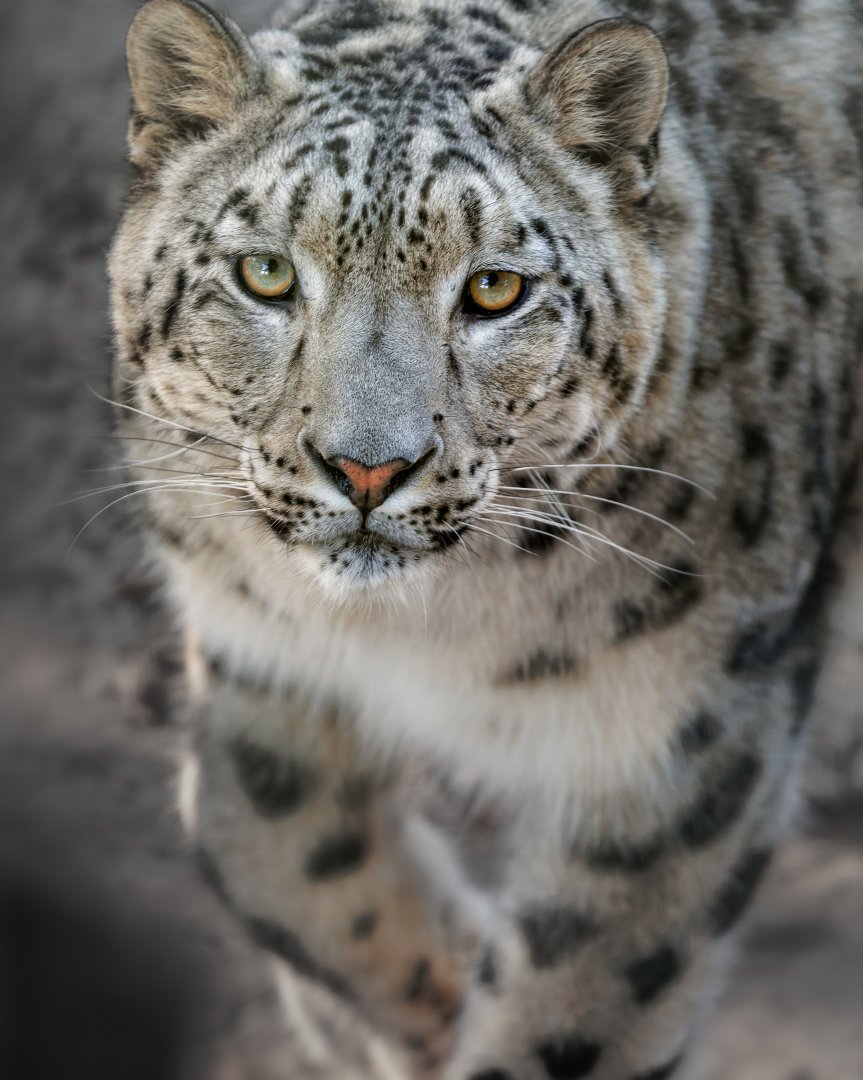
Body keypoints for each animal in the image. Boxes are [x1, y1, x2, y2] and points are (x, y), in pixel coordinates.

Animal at [108, 0, 863, 1077]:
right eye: (266, 273)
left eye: (495, 289)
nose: (366, 468)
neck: (429, 630)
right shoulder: (255, 643)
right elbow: (266, 844)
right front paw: (425, 999)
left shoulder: (678, 728)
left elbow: (581, 998)